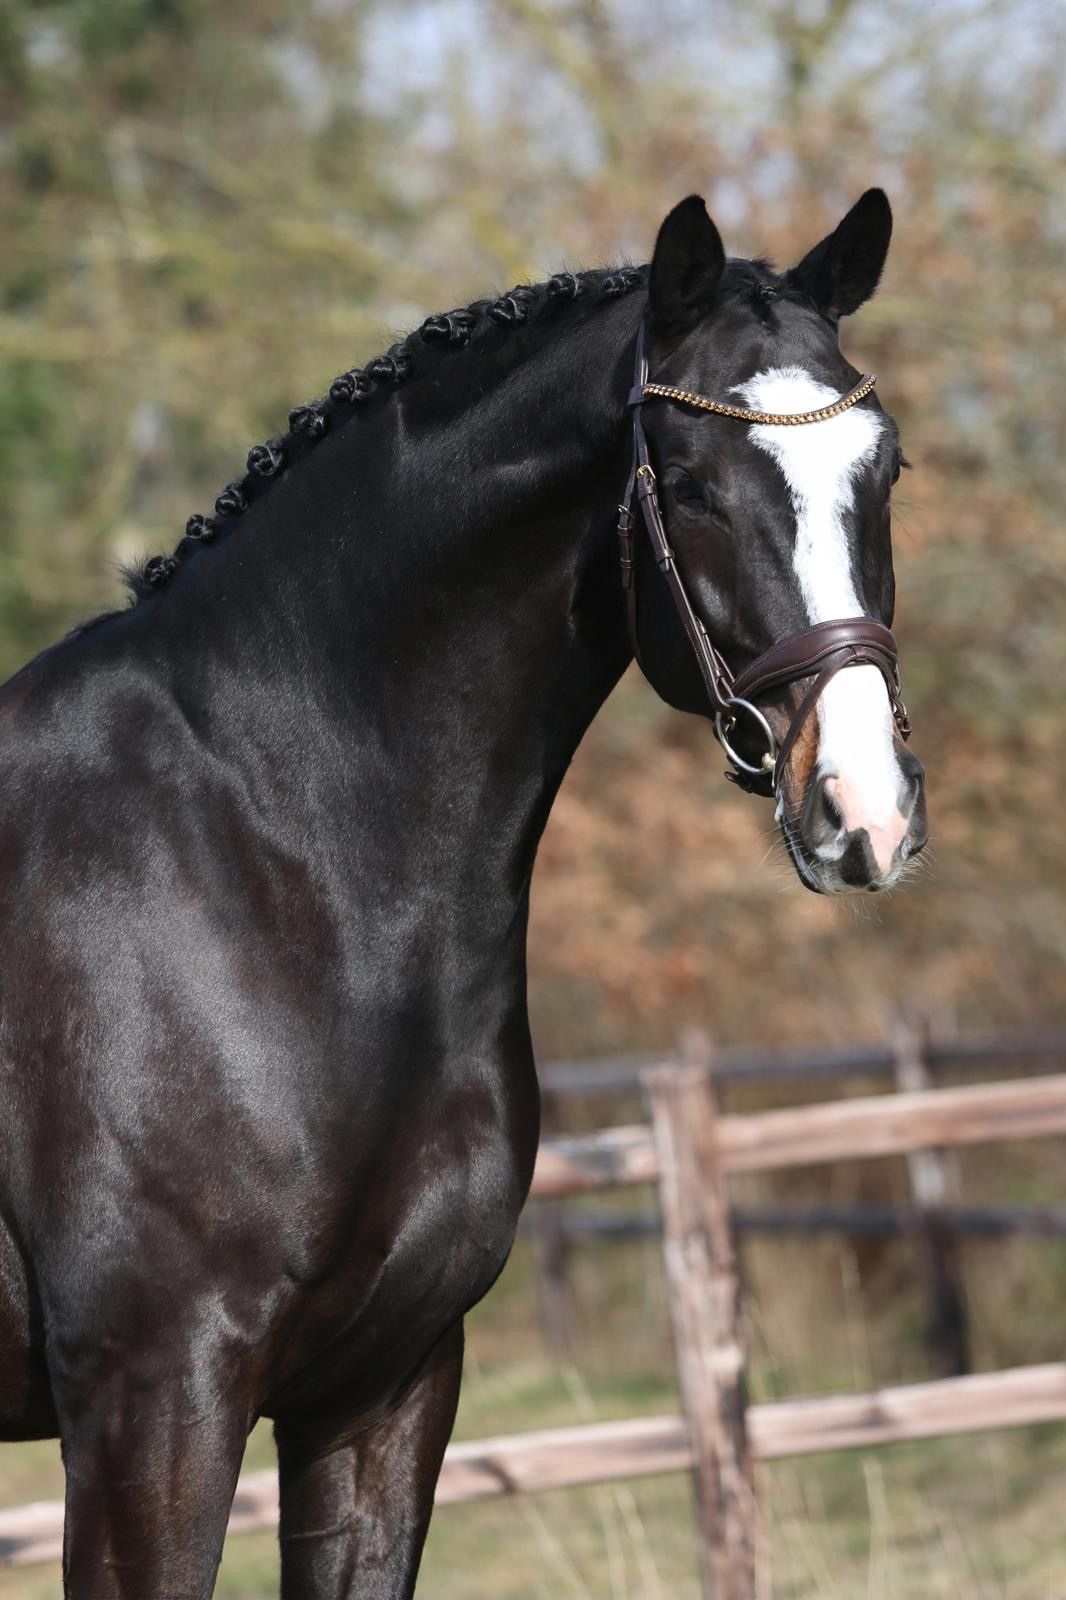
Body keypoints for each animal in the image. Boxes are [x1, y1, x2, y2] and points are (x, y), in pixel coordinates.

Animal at [0, 188, 926, 1598]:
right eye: (693, 485)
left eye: (885, 471)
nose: (862, 809)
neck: (269, 853)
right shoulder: (149, 1407)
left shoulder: (385, 1387)